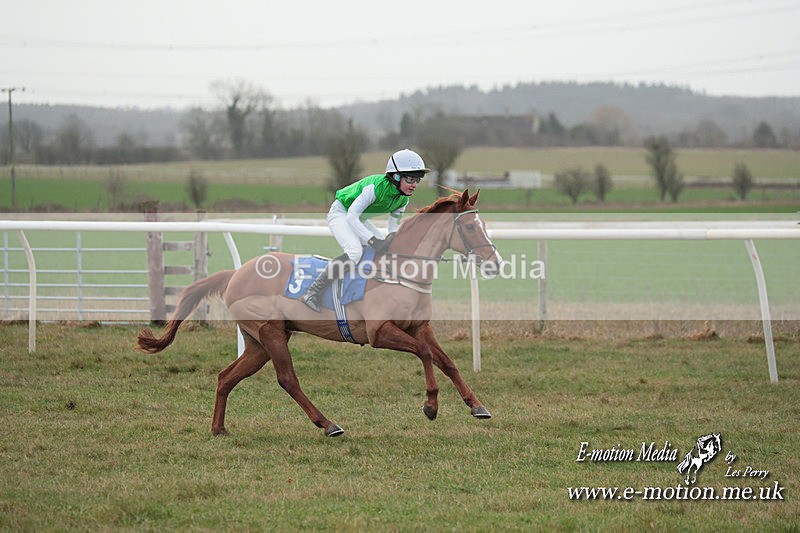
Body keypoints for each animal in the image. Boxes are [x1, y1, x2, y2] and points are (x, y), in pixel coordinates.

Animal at [137, 189, 503, 438]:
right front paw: (430, 405)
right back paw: (328, 424)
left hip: (258, 342)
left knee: (226, 376)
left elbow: (447, 361)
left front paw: (477, 406)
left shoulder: (418, 326)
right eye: (471, 228)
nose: (495, 263)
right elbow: (426, 354)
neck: (398, 270)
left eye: (484, 224)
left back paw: (218, 428)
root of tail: (235, 273)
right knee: (287, 379)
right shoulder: (379, 332)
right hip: (270, 332)